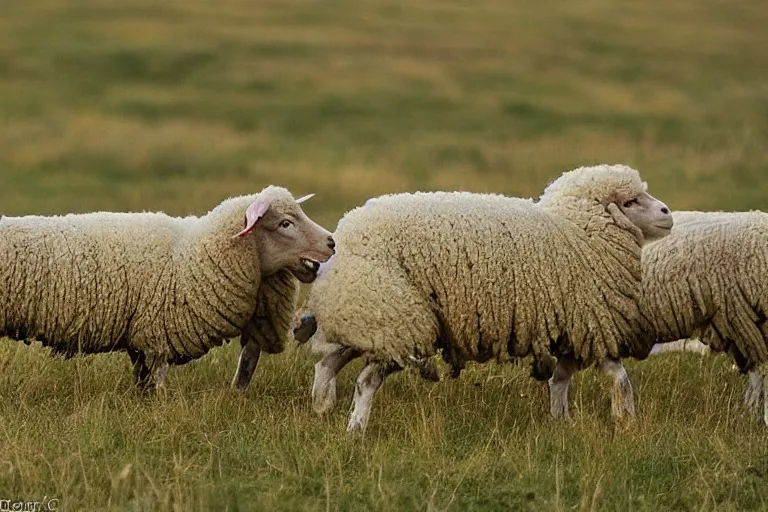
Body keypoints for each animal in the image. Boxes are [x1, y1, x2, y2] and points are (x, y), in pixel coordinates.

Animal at [0, 186, 336, 390]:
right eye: (285, 223)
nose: (332, 242)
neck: (193, 254)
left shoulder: (141, 336)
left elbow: (142, 379)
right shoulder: (159, 332)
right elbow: (158, 380)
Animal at [296, 165, 668, 432]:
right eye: (630, 201)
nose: (667, 212)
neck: (577, 231)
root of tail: (341, 239)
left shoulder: (573, 328)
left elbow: (561, 379)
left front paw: (561, 421)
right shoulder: (590, 322)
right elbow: (619, 378)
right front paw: (627, 421)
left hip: (367, 317)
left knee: (328, 363)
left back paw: (322, 406)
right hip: (397, 319)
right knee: (365, 382)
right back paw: (355, 429)